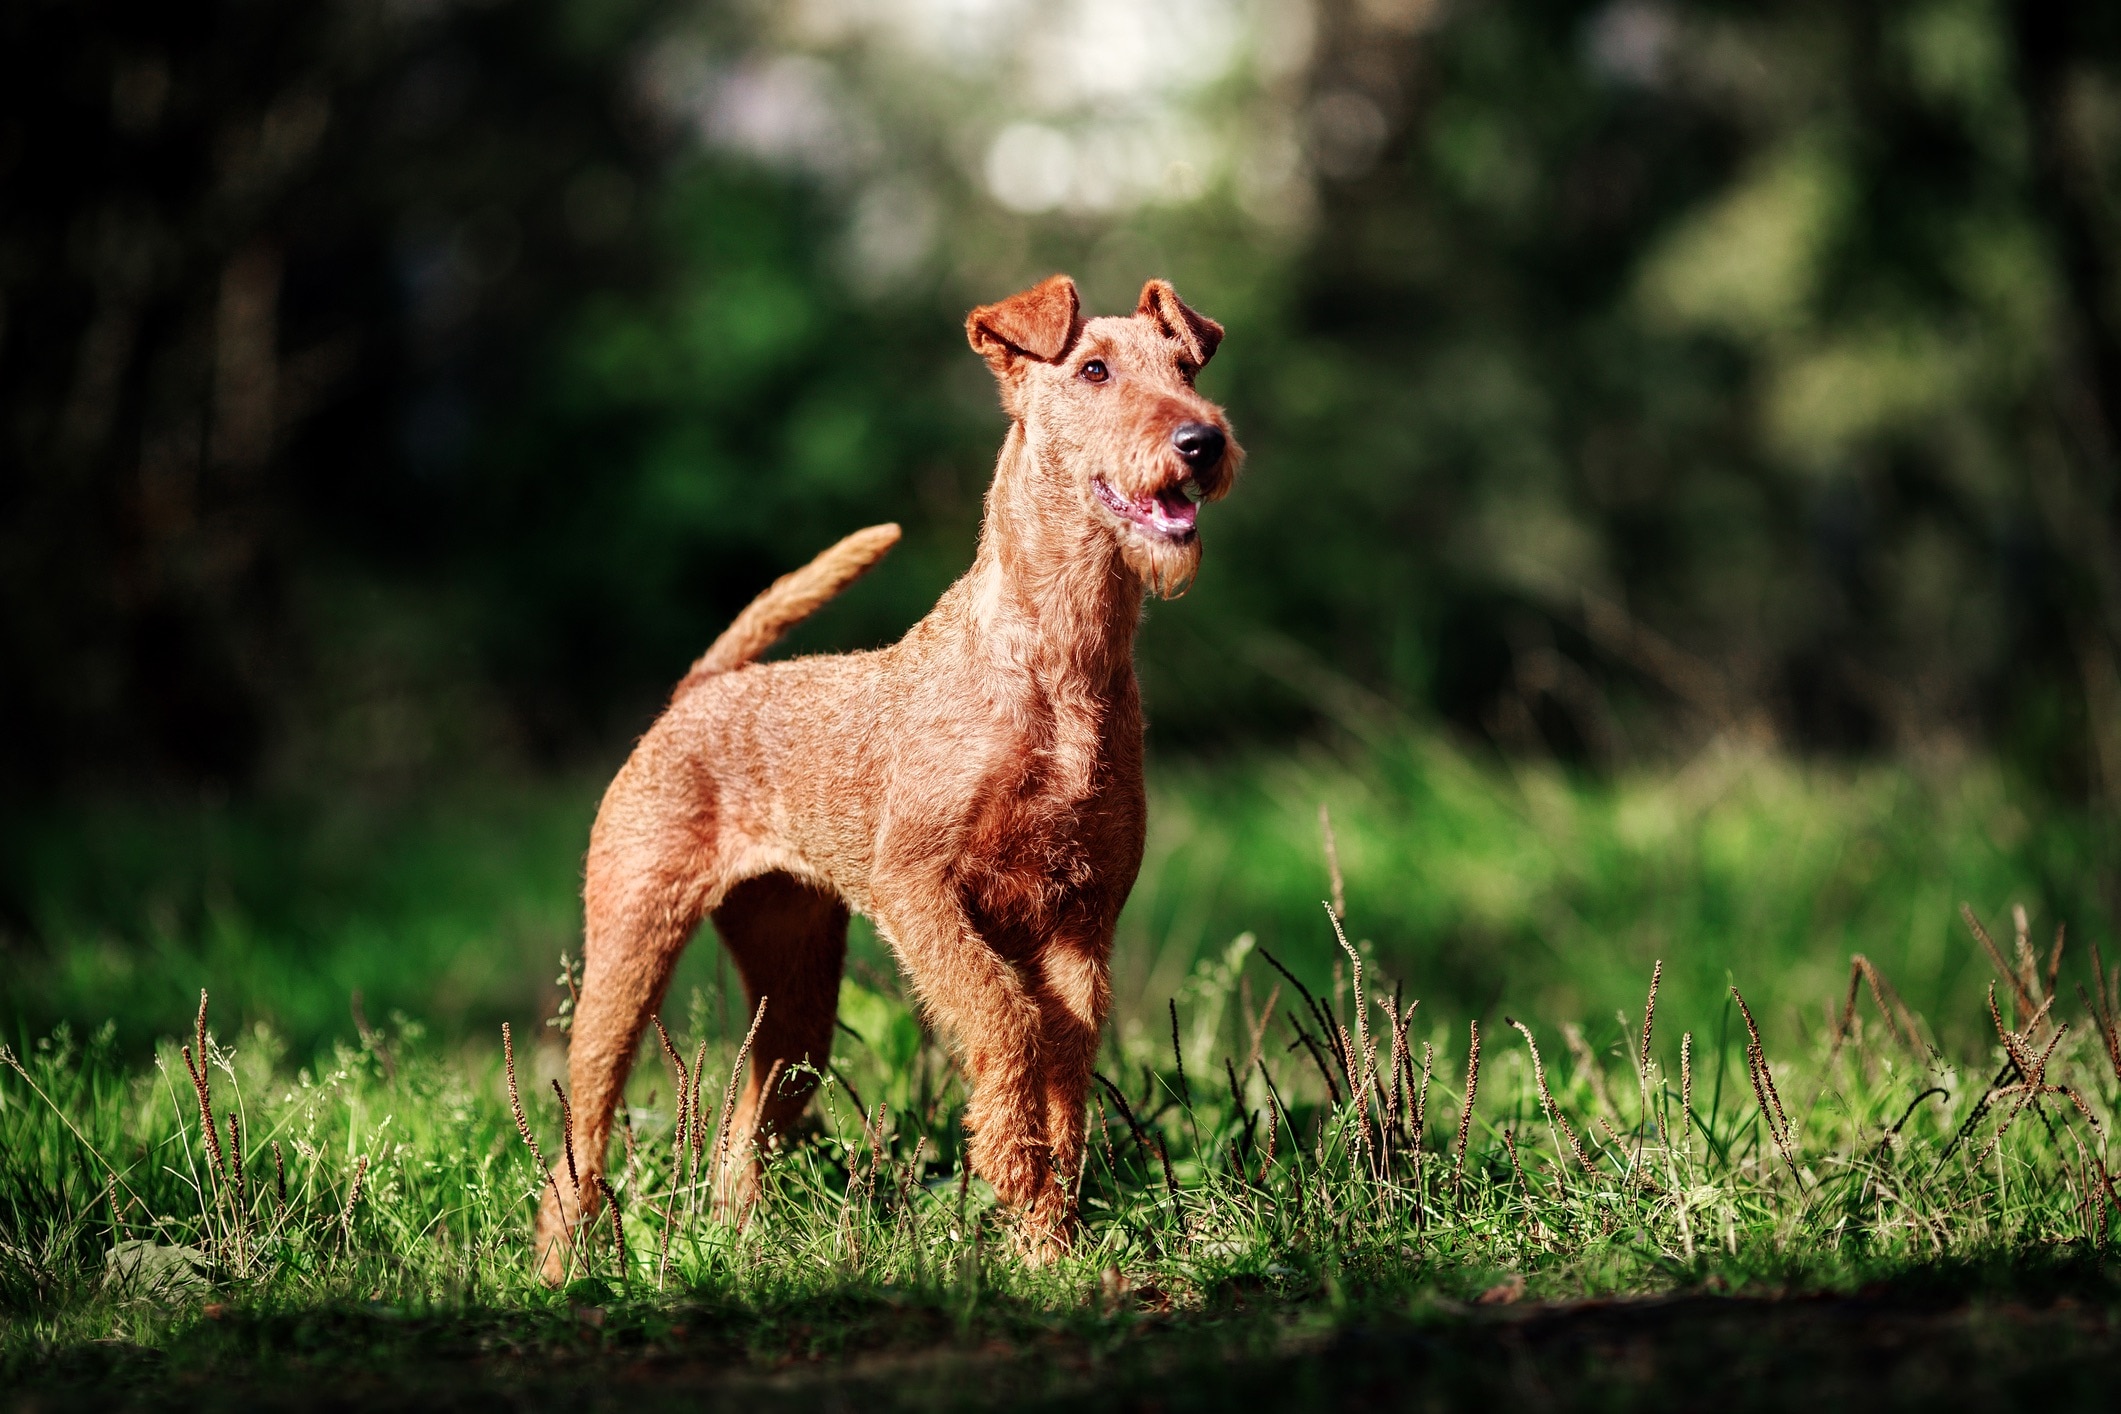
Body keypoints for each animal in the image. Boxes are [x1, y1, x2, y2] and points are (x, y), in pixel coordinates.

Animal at [534, 271, 1238, 1280]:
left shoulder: (1081, 918)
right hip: (631, 946)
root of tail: (701, 688)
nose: (1201, 440)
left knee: (742, 1130)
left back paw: (740, 1250)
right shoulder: (919, 888)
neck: (1056, 661)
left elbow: (1065, 1070)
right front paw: (1015, 1181)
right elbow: (1007, 1023)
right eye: (1094, 370)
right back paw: (560, 1271)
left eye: (1186, 367)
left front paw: (1050, 1241)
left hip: (794, 991)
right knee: (579, 1134)